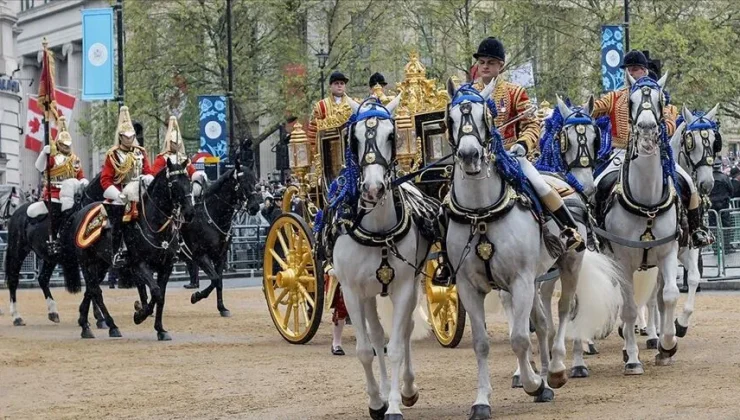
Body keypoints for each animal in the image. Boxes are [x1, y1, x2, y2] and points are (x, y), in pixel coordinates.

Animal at [61, 159, 194, 340]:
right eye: (173, 184)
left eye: (188, 182)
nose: (189, 213)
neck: (155, 225)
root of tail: (79, 213)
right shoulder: (139, 264)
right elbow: (155, 292)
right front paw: (140, 315)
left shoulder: (166, 267)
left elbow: (160, 296)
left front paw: (160, 329)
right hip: (86, 262)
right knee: (96, 290)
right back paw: (111, 326)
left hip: (101, 264)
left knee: (91, 289)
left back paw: (85, 324)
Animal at [182, 158, 260, 316]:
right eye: (243, 182)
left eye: (255, 181)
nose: (255, 207)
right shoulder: (200, 255)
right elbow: (215, 279)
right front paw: (196, 296)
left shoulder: (220, 256)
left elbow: (219, 282)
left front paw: (222, 308)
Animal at [328, 96, 428, 420]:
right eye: (355, 138)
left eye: (392, 135)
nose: (373, 188)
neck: (377, 231)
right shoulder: (351, 291)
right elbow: (364, 349)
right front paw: (376, 401)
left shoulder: (405, 287)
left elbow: (396, 346)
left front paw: (395, 404)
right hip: (369, 293)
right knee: (375, 335)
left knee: (403, 332)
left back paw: (406, 389)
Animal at [446, 79, 620, 420]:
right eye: (452, 117)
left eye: (485, 116)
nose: (470, 155)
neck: (481, 213)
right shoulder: (469, 286)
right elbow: (482, 343)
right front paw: (482, 401)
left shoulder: (521, 280)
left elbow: (519, 337)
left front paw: (535, 384)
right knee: (542, 322)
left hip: (569, 264)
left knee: (563, 311)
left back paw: (557, 368)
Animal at [596, 73, 684, 374]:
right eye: (631, 101)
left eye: (660, 100)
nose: (646, 129)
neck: (647, 204)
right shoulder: (623, 260)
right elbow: (630, 307)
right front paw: (633, 359)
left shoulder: (668, 253)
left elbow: (669, 295)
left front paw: (667, 346)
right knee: (626, 302)